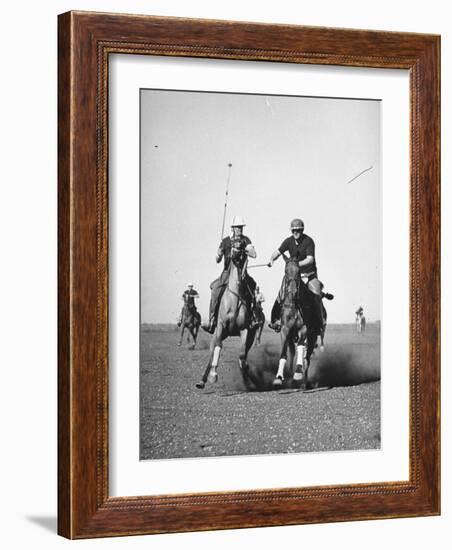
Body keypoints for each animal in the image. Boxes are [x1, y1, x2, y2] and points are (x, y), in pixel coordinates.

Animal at [195, 248, 256, 390]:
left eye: (243, 248)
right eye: (233, 246)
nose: (235, 254)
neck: (234, 298)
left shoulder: (245, 329)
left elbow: (242, 355)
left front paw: (247, 378)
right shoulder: (221, 327)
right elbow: (218, 347)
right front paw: (213, 376)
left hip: (249, 337)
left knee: (244, 354)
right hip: (218, 334)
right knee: (212, 354)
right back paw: (202, 380)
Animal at [272, 258, 318, 392]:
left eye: (298, 272)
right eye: (286, 271)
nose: (292, 291)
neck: (295, 303)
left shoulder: (304, 329)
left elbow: (301, 350)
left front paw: (297, 374)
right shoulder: (285, 329)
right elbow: (284, 354)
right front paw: (279, 377)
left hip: (312, 337)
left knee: (306, 360)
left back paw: (303, 383)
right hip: (291, 338)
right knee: (292, 354)